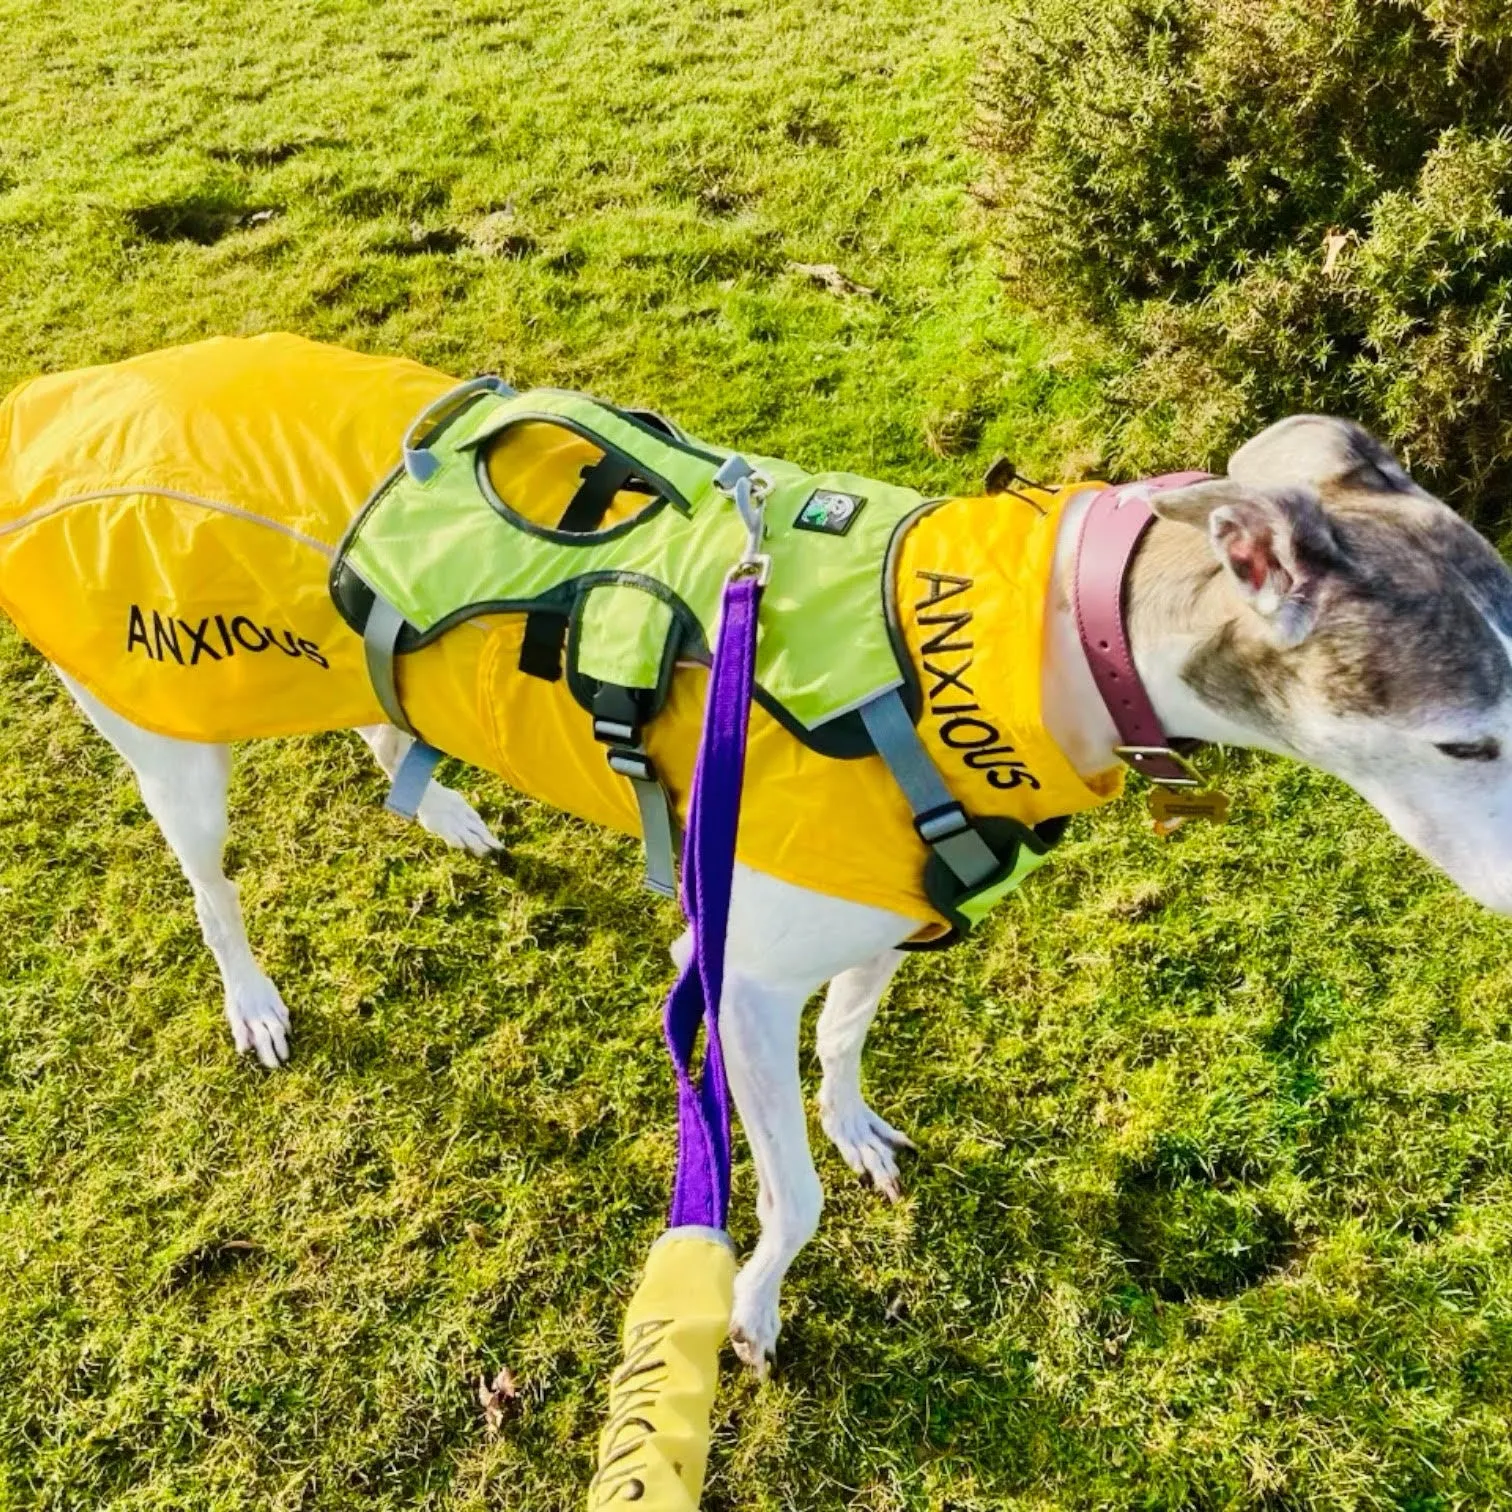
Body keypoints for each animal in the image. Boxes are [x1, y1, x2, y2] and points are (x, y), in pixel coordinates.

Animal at [2, 331, 1512, 1372]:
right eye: (1464, 745)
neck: (992, 659)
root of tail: (76, 391)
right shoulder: (736, 982)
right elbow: (786, 1203)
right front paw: (748, 1307)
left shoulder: (881, 923)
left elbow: (845, 1041)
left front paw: (856, 1124)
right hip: (168, 731)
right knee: (210, 883)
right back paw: (254, 998)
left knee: (384, 717)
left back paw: (443, 805)